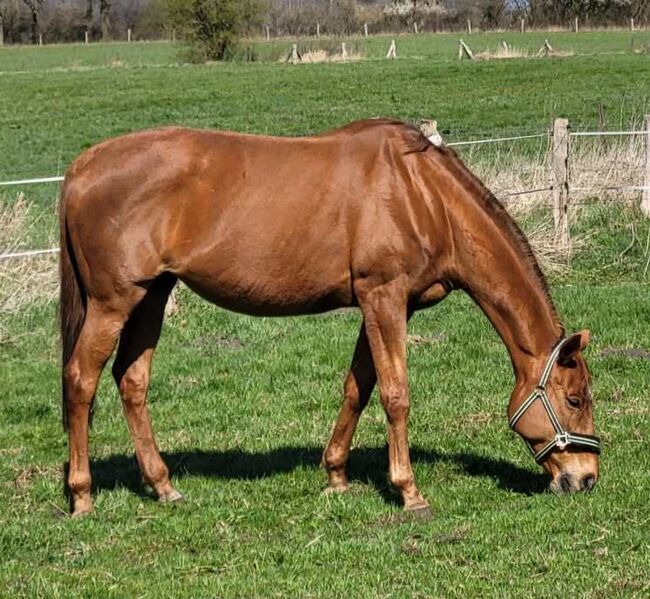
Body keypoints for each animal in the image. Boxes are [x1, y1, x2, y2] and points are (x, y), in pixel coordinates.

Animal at [59, 117, 596, 516]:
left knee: (132, 380)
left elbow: (358, 386)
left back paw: (163, 485)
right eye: (573, 399)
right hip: (113, 302)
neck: (422, 194)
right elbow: (396, 394)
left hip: (152, 295)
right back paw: (82, 496)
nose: (586, 478)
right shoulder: (384, 298)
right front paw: (409, 492)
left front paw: (336, 474)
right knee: (81, 379)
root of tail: (83, 165)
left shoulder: (379, 305)